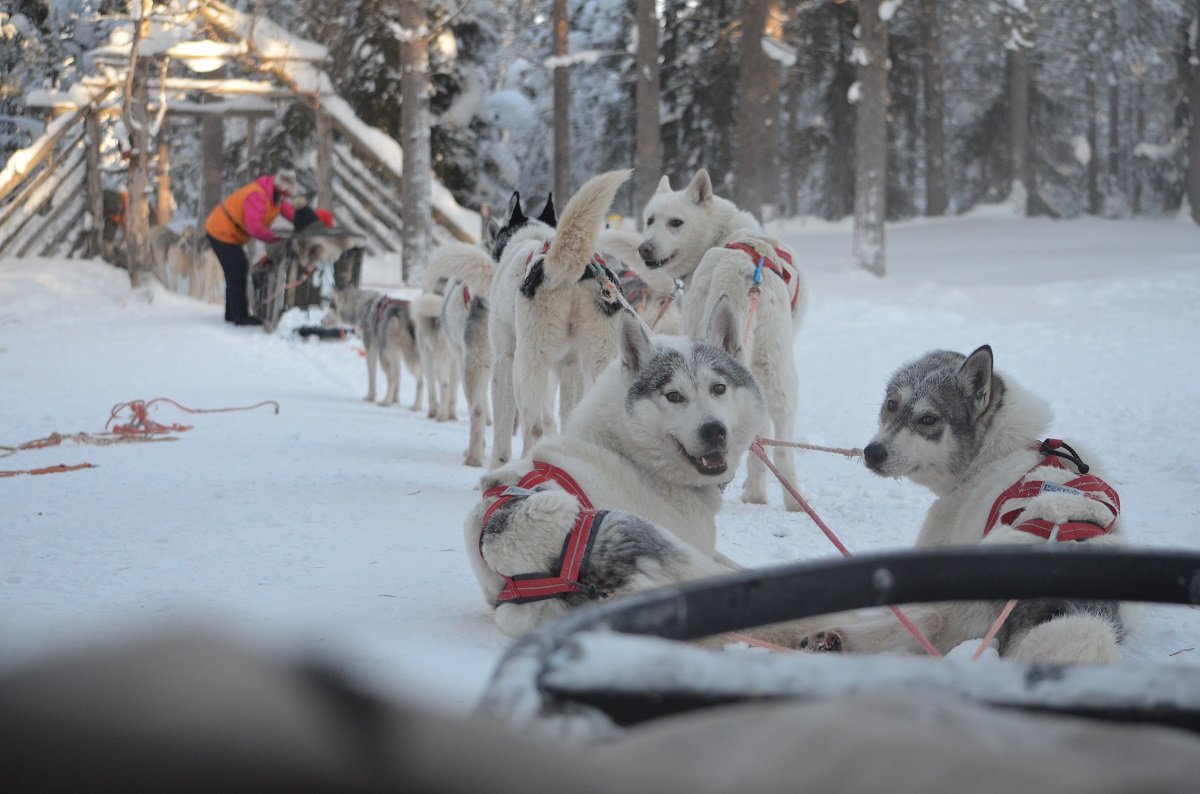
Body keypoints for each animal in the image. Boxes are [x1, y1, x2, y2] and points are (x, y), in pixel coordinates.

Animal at [489, 170, 638, 470]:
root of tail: (576, 270)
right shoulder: (569, 365)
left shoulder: (504, 359)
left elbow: (502, 426)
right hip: (598, 359)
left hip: (528, 363)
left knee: (533, 427)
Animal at [638, 171, 806, 513]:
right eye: (650, 219)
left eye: (675, 222)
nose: (644, 248)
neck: (724, 232)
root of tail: (741, 272)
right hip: (778, 368)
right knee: (779, 439)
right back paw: (782, 497)